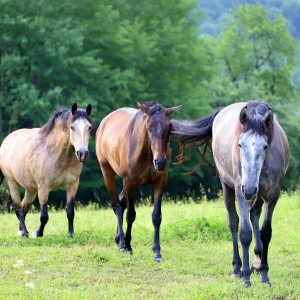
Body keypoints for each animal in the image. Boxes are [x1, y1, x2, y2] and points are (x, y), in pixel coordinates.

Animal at [0, 103, 92, 239]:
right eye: (72, 127)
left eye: (89, 127)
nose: (82, 153)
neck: (58, 154)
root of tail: (6, 142)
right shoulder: (43, 188)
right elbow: (44, 216)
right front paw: (38, 233)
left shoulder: (72, 186)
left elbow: (70, 212)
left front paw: (70, 234)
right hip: (12, 182)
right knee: (18, 208)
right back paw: (25, 233)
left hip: (31, 188)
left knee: (24, 206)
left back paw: (21, 231)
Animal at [96, 100, 180, 260]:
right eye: (149, 127)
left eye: (169, 127)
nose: (160, 162)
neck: (146, 154)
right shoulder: (130, 183)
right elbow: (131, 215)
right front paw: (128, 246)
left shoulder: (160, 182)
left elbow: (156, 216)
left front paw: (157, 252)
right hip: (107, 172)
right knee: (117, 205)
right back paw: (122, 244)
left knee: (121, 202)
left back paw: (118, 239)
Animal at [171, 102, 290, 288]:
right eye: (240, 145)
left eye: (265, 146)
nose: (249, 189)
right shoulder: (241, 193)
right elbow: (245, 233)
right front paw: (246, 278)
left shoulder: (272, 195)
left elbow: (265, 232)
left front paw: (264, 275)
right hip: (228, 186)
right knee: (233, 222)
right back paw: (237, 268)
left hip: (256, 195)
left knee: (254, 215)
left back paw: (257, 260)